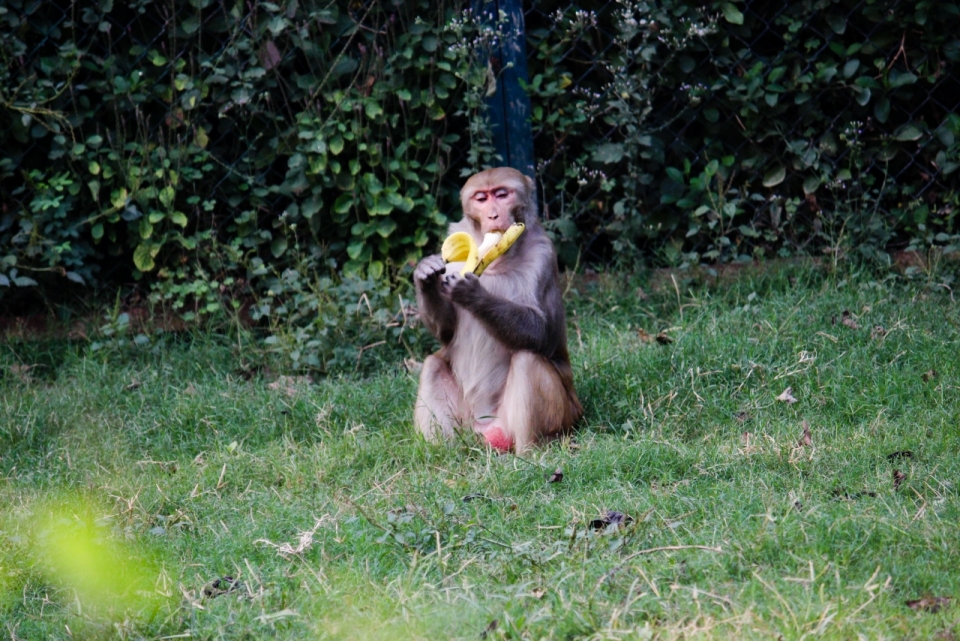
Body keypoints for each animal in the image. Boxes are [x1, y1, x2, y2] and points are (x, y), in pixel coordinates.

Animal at [414, 168, 580, 452]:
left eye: (502, 195)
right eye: (481, 198)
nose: (493, 215)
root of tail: (483, 431)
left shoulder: (543, 255)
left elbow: (542, 333)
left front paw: (472, 293)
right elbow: (446, 332)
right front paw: (425, 274)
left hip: (562, 418)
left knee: (527, 359)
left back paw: (532, 452)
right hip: (466, 424)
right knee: (433, 364)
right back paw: (438, 452)